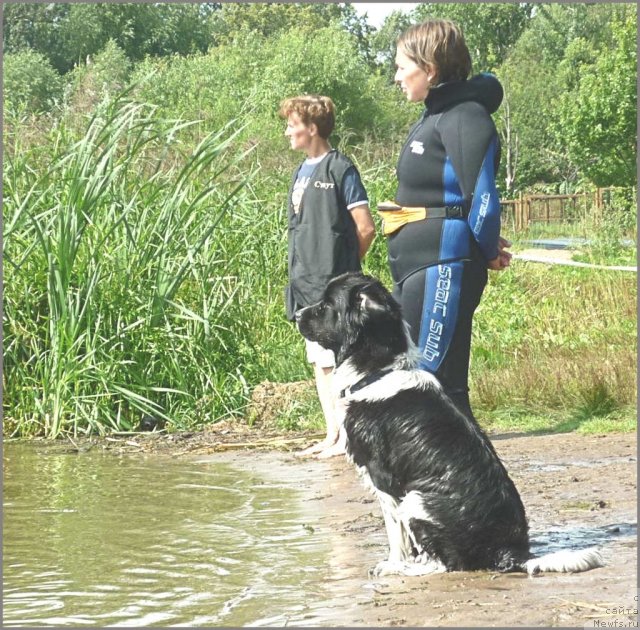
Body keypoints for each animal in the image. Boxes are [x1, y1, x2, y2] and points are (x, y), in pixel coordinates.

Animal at [296, 272, 604, 576]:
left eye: (325, 306)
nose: (296, 314)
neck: (378, 371)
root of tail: (510, 552)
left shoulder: (384, 480)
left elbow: (396, 535)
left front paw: (393, 564)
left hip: (416, 500)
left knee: (447, 563)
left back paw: (409, 569)